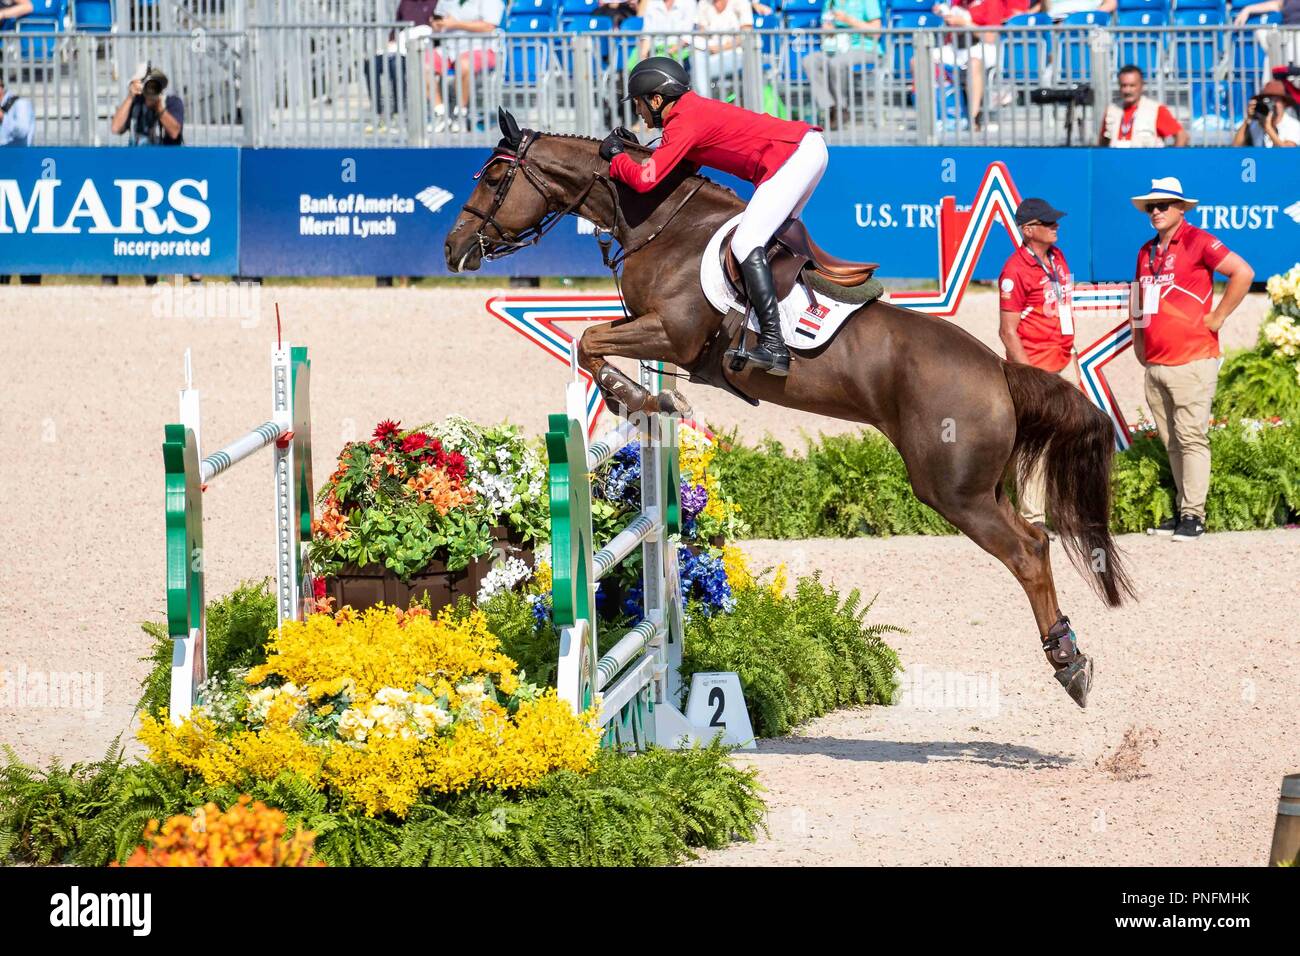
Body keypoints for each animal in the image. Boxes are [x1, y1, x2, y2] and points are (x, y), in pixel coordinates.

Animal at [444, 113, 1128, 712]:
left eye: (494, 175)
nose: (453, 249)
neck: (661, 227)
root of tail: (997, 371)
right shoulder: (654, 332)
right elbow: (592, 339)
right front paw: (641, 397)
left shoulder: (673, 334)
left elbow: (588, 341)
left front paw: (637, 397)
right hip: (984, 485)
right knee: (1033, 538)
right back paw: (1071, 657)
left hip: (953, 491)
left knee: (1029, 551)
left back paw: (1069, 665)